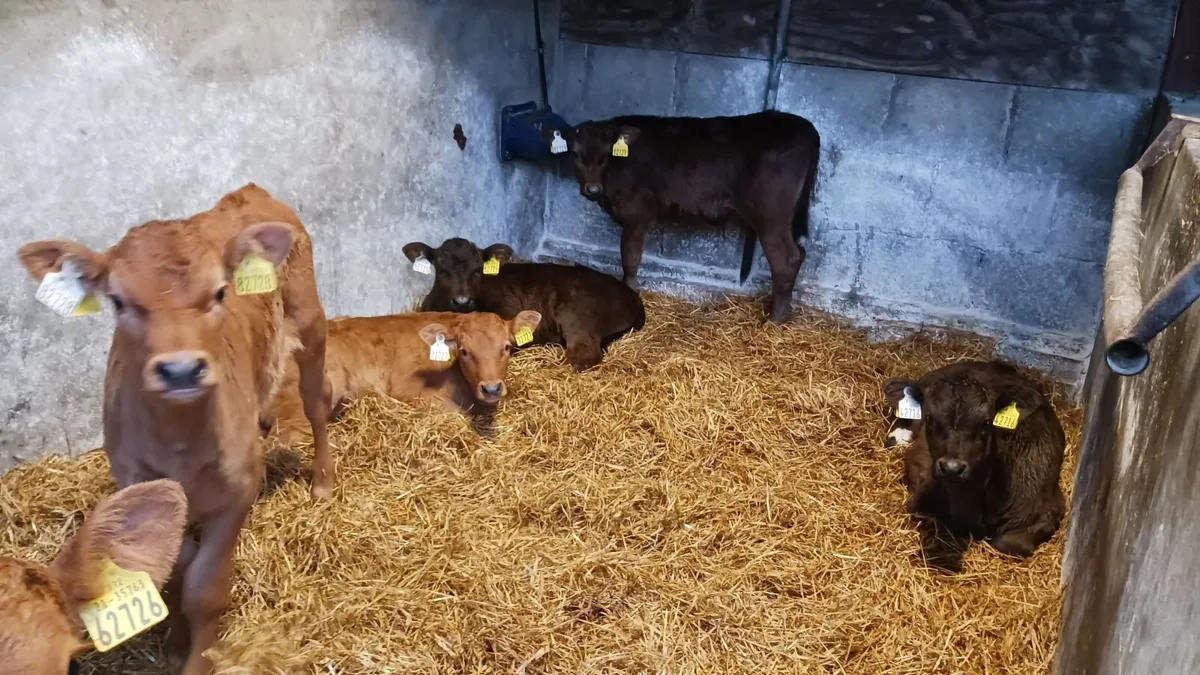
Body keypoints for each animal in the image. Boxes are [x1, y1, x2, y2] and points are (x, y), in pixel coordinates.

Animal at [402, 238, 645, 371]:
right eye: (442, 270)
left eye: (478, 270)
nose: (462, 300)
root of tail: (633, 296)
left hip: (578, 315)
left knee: (585, 356)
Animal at [544, 110, 820, 324]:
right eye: (575, 154)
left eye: (605, 155)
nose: (592, 189)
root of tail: (804, 126)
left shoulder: (636, 214)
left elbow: (629, 257)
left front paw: (631, 292)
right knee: (798, 253)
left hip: (770, 214)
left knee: (787, 259)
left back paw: (775, 320)